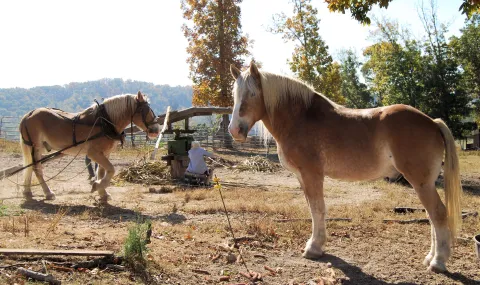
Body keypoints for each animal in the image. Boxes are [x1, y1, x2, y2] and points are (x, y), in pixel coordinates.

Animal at [19, 90, 161, 202]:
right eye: (143, 110)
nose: (156, 130)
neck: (105, 122)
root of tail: (27, 115)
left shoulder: (105, 153)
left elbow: (102, 171)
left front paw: (103, 193)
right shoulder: (94, 153)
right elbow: (111, 169)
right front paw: (97, 186)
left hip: (36, 147)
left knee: (30, 166)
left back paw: (27, 191)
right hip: (36, 146)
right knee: (37, 168)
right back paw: (48, 193)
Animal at [229, 61, 462, 270]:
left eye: (252, 94)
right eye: (235, 95)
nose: (235, 130)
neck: (300, 118)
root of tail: (433, 123)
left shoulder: (312, 174)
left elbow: (318, 209)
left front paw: (314, 248)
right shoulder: (302, 177)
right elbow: (313, 208)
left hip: (421, 182)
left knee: (438, 214)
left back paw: (438, 262)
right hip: (425, 183)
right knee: (432, 216)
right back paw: (430, 257)